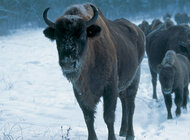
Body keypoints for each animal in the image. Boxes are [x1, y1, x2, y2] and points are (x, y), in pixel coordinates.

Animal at [42, 3, 145, 140]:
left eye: (81, 35)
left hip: (135, 78)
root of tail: (139, 31)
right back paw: (122, 131)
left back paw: (129, 134)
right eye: (58, 37)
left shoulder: (110, 88)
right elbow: (88, 117)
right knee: (124, 103)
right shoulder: (80, 91)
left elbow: (108, 116)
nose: (68, 63)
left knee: (130, 105)